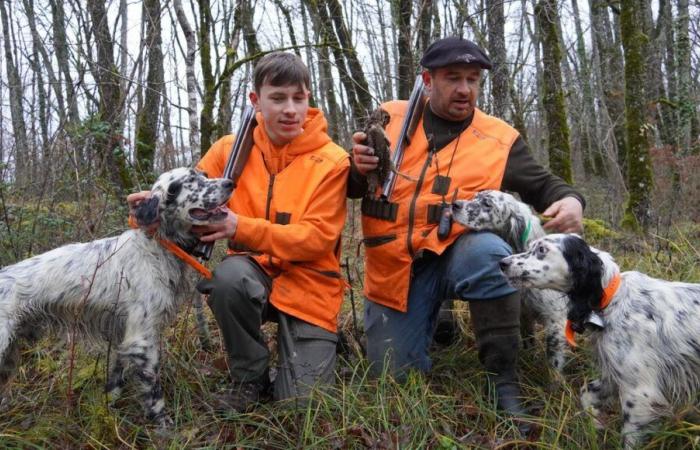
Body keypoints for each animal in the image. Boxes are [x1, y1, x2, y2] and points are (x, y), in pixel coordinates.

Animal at [0, 168, 234, 426]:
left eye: (204, 174)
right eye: (190, 181)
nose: (230, 183)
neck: (157, 246)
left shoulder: (123, 334)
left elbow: (115, 380)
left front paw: (108, 410)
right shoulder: (142, 339)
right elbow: (154, 392)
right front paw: (163, 425)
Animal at [452, 191, 572, 372]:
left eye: (487, 204)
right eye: (475, 196)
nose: (454, 205)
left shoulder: (555, 321)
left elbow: (553, 365)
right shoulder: (524, 315)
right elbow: (528, 341)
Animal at [500, 234, 700, 448]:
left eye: (542, 250)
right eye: (530, 247)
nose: (502, 263)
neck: (613, 299)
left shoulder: (639, 392)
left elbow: (629, 436)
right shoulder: (614, 375)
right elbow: (585, 392)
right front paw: (595, 422)